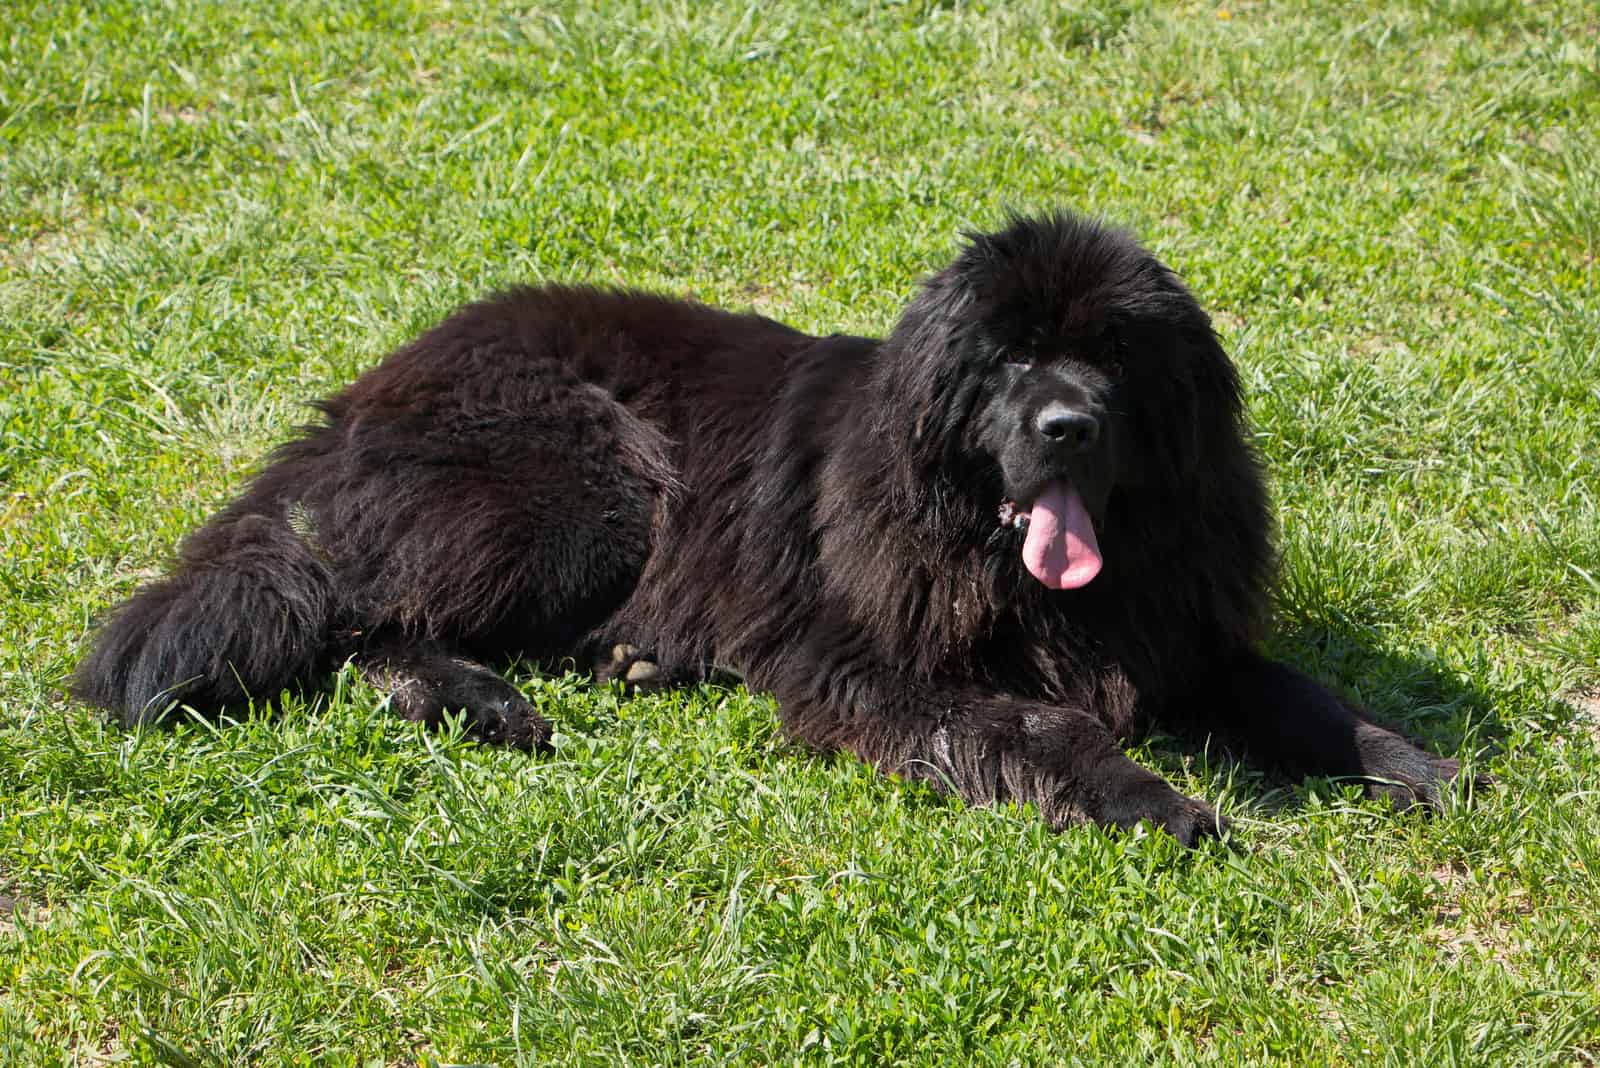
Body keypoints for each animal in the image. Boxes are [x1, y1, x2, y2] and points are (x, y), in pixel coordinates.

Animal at [75, 211, 1472, 844]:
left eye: (1114, 357)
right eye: (1012, 358)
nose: (1068, 424)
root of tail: (371, 383)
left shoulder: (1183, 630)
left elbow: (1296, 695)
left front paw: (1415, 765)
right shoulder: (866, 658)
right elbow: (1045, 725)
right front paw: (1155, 800)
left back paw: (620, 662)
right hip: (588, 493)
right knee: (364, 612)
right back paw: (482, 700)